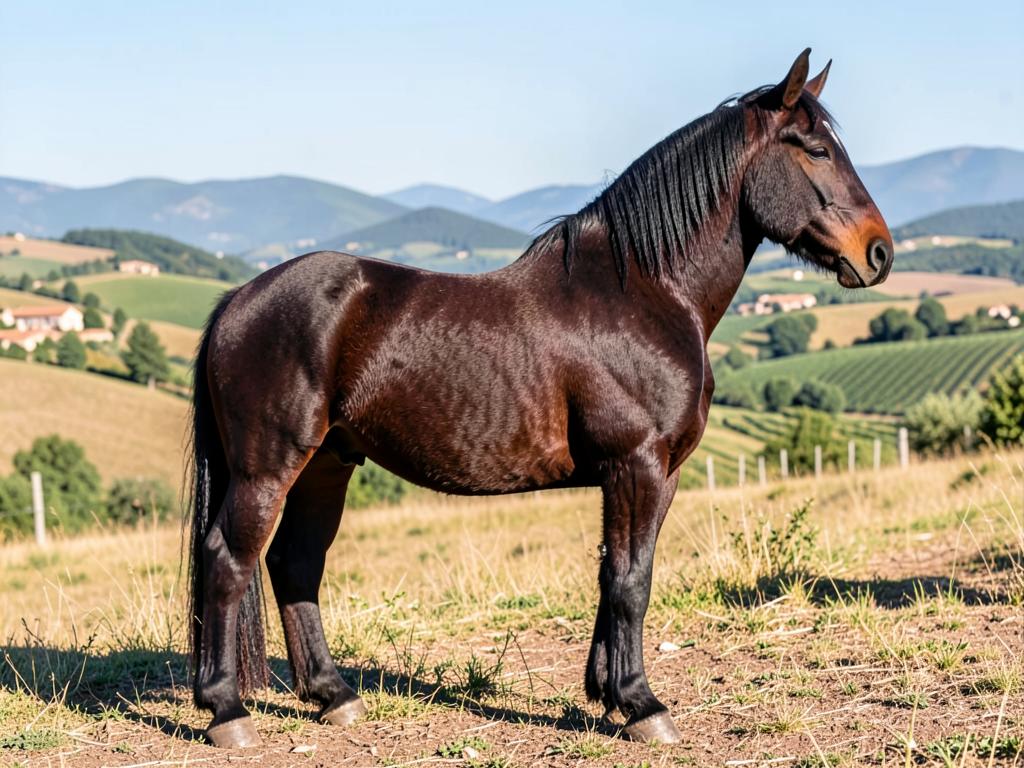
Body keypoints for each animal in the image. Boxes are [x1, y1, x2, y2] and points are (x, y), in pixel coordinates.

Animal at [185, 48, 893, 748]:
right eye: (815, 149)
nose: (879, 252)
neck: (643, 292)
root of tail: (235, 301)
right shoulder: (636, 465)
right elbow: (631, 581)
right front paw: (642, 705)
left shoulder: (652, 475)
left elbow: (616, 575)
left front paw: (606, 694)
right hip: (268, 468)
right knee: (228, 561)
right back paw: (227, 712)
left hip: (327, 464)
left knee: (295, 564)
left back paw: (333, 696)